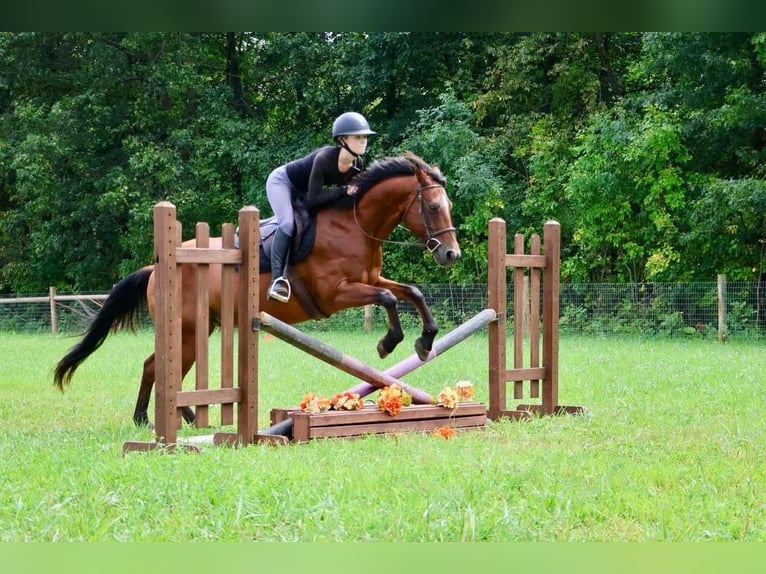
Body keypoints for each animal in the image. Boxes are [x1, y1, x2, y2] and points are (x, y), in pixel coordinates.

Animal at [54, 152, 461, 427]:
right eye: (434, 206)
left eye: (449, 205)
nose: (451, 254)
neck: (355, 225)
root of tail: (155, 268)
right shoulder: (335, 293)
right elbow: (389, 298)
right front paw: (388, 342)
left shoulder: (371, 279)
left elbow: (410, 292)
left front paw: (425, 342)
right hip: (188, 329)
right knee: (161, 367)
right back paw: (164, 420)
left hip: (201, 328)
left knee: (158, 366)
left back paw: (169, 417)